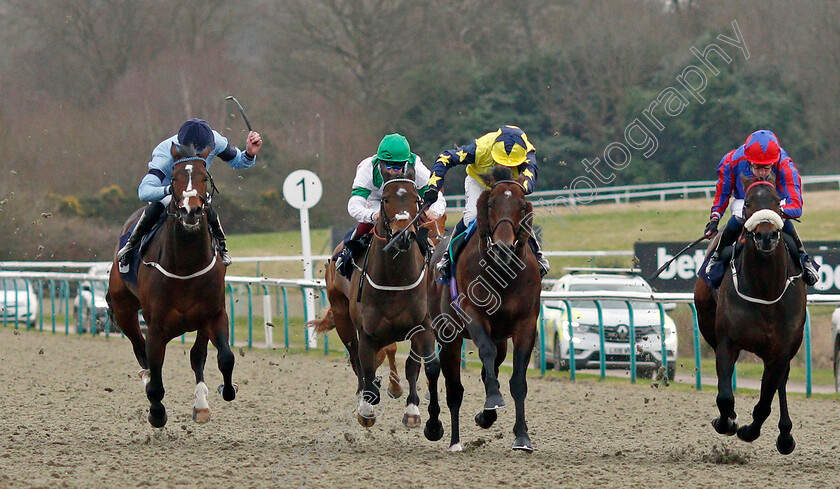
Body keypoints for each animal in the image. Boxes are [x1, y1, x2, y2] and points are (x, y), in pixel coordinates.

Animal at [107, 142, 236, 428]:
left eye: (205, 177)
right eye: (174, 178)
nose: (191, 210)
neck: (185, 266)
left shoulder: (214, 315)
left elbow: (225, 357)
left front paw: (226, 389)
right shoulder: (156, 326)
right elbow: (155, 375)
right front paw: (156, 413)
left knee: (197, 356)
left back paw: (201, 404)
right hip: (124, 311)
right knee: (140, 349)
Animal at [308, 164, 440, 428]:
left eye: (416, 199)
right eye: (386, 199)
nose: (403, 235)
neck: (395, 279)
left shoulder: (422, 326)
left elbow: (414, 365)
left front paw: (412, 410)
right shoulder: (368, 333)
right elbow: (367, 370)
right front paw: (367, 407)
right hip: (342, 318)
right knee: (355, 359)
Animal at [424, 166, 540, 452]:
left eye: (522, 206)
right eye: (490, 204)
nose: (503, 249)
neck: (502, 274)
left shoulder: (526, 324)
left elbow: (517, 380)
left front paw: (522, 436)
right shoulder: (473, 315)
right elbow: (485, 353)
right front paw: (494, 399)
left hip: (500, 337)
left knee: (491, 367)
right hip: (448, 333)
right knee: (450, 385)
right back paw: (450, 438)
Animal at [696, 173, 808, 452]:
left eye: (778, 202)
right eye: (746, 203)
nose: (766, 236)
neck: (764, 291)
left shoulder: (780, 351)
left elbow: (765, 402)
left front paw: (749, 430)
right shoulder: (727, 341)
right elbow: (725, 396)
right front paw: (727, 422)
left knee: (781, 382)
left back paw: (785, 434)